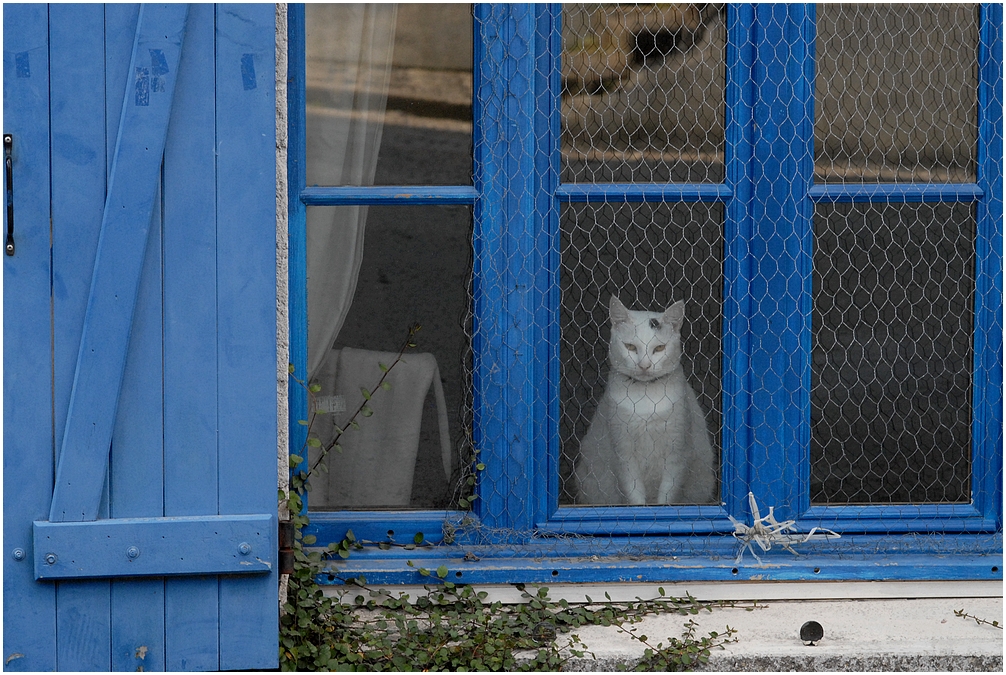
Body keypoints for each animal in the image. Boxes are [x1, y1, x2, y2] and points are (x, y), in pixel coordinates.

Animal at [575, 297, 716, 507]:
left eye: (659, 348)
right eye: (631, 347)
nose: (644, 365)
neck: (646, 395)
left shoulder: (676, 453)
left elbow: (666, 495)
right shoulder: (624, 453)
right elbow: (634, 494)